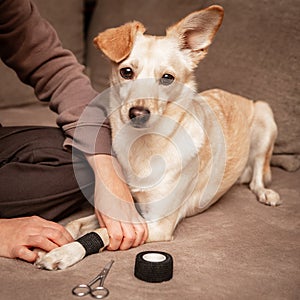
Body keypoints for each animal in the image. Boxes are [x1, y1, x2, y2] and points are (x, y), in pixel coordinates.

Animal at [35, 5, 282, 270]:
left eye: (167, 78)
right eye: (126, 72)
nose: (137, 114)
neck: (141, 146)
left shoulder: (156, 224)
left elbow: (103, 232)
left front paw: (63, 252)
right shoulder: (126, 208)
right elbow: (76, 223)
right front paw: (49, 242)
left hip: (265, 115)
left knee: (258, 176)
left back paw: (266, 193)